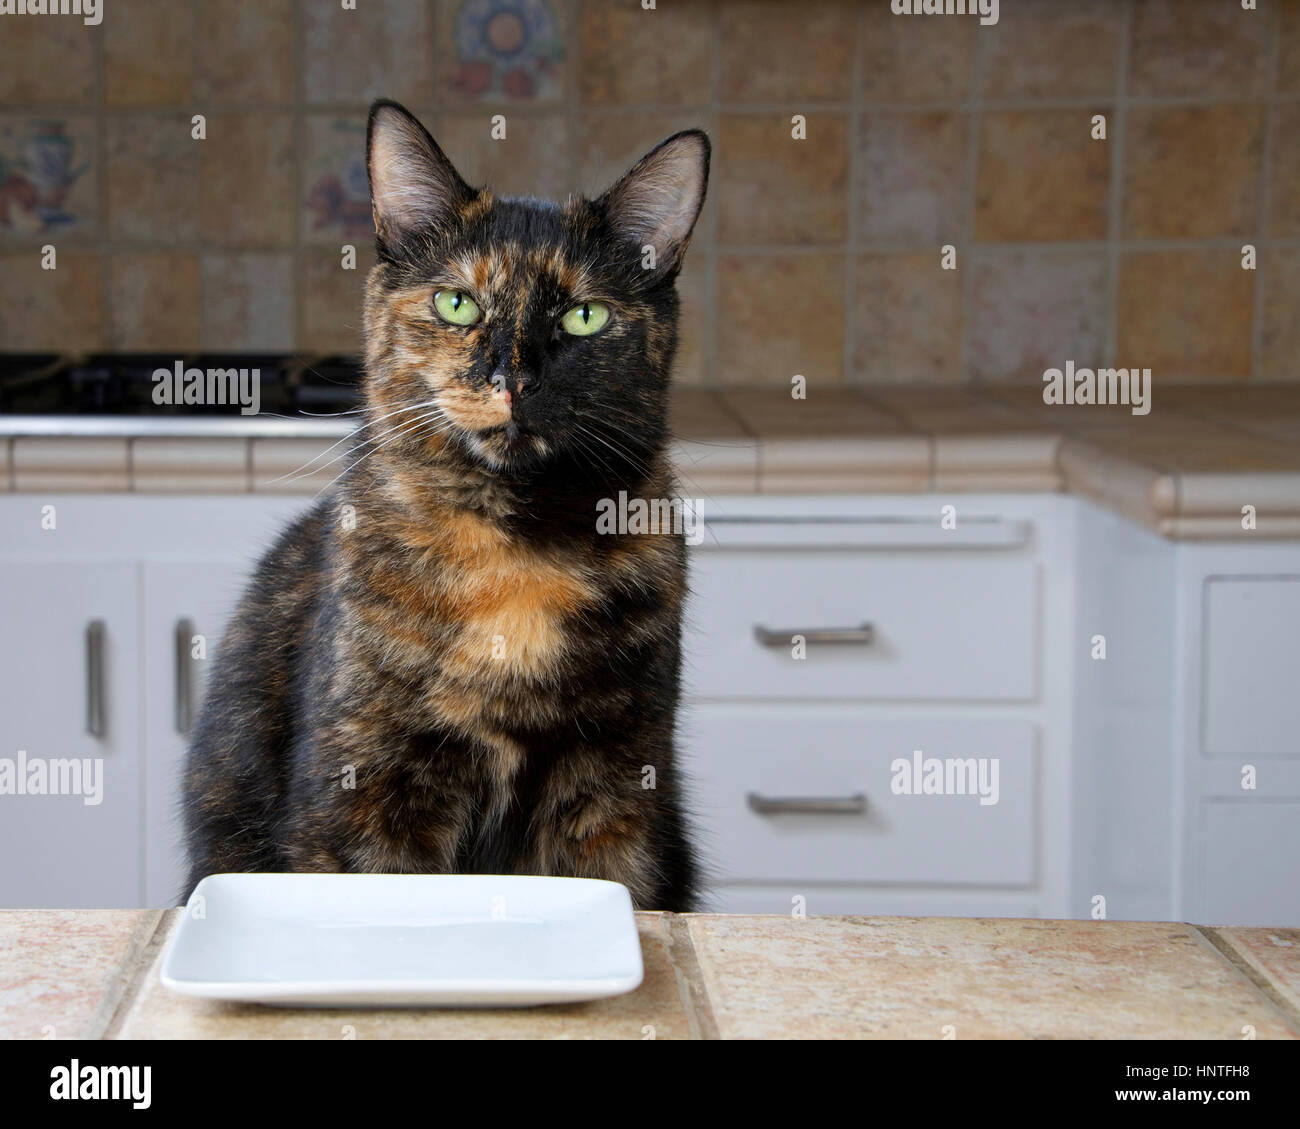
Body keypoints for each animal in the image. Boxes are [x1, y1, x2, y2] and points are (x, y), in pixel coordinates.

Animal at [180, 96, 712, 910]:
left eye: (584, 316)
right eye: (456, 302)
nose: (513, 377)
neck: (518, 546)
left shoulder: (617, 789)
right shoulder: (363, 792)